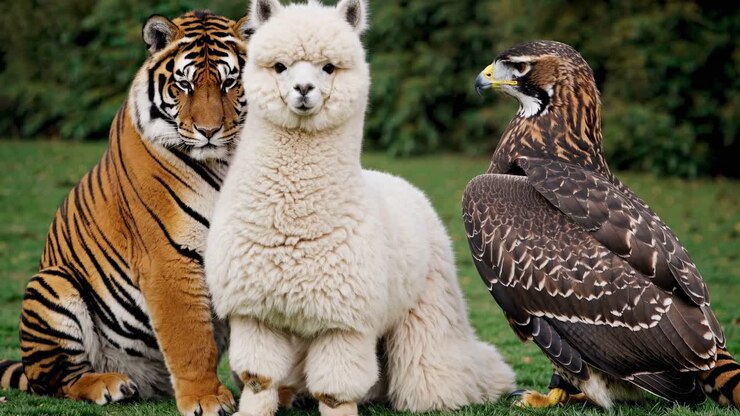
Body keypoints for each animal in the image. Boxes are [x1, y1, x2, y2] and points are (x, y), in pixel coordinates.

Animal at [0, 10, 250, 416]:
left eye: (230, 83)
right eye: (184, 85)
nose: (209, 131)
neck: (224, 161)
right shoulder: (168, 257)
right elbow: (191, 338)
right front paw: (206, 399)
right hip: (52, 285)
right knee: (55, 380)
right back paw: (110, 384)